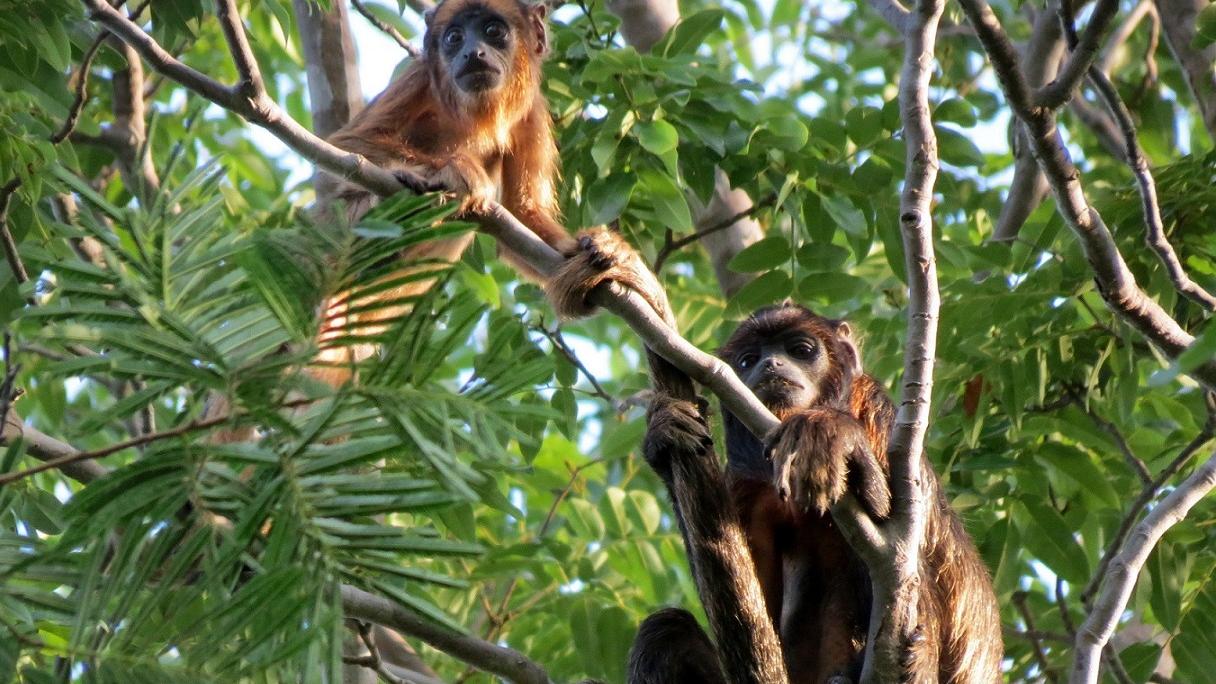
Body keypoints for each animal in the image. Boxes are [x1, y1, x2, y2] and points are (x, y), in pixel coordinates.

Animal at [622, 303, 1001, 681]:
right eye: (747, 360)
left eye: (801, 350)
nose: (770, 364)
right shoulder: (748, 476)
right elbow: (753, 603)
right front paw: (665, 432)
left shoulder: (878, 410)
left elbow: (901, 525)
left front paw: (829, 430)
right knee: (664, 630)